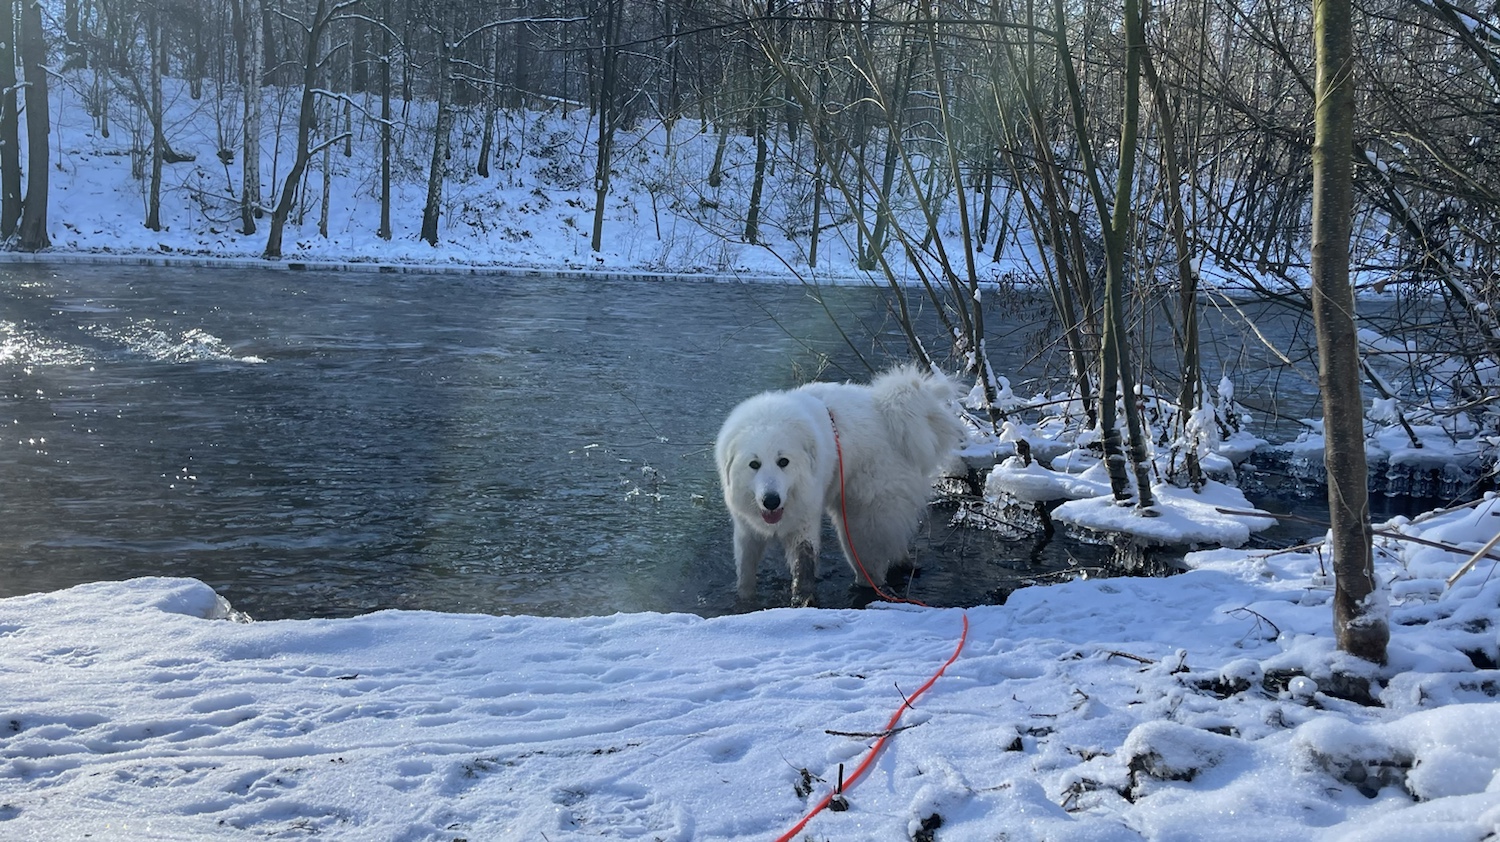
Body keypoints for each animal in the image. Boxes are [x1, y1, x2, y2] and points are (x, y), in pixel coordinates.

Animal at [714, 365, 965, 606]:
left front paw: (802, 601)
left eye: (783, 462)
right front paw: (745, 601)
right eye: (754, 464)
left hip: (861, 524)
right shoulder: (747, 531)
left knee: (872, 568)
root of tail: (888, 411)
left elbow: (803, 566)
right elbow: (745, 574)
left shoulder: (803, 524)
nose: (771, 500)